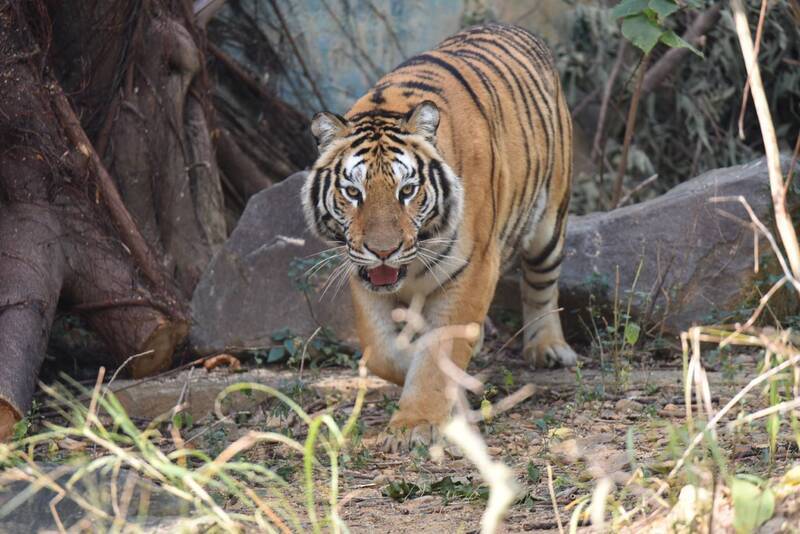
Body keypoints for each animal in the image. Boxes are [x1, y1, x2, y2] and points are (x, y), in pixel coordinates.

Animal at [302, 22, 577, 449]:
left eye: (407, 191)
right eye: (353, 192)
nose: (383, 251)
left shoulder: (473, 268)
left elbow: (437, 352)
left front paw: (414, 423)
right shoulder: (361, 275)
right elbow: (382, 351)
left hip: (549, 222)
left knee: (541, 284)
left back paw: (546, 346)